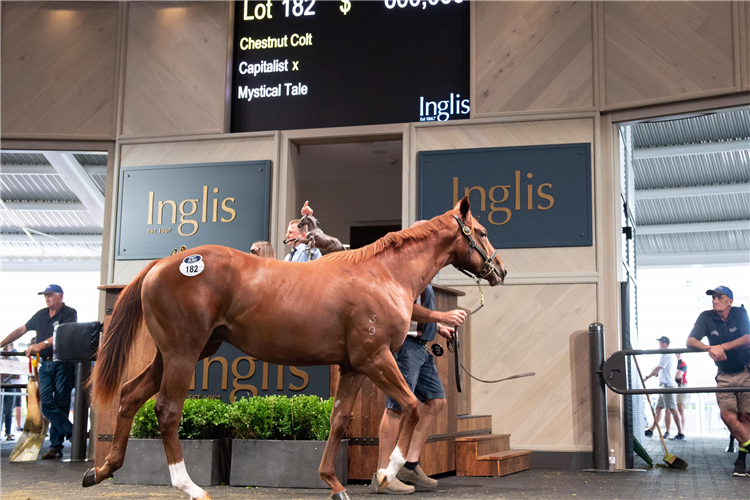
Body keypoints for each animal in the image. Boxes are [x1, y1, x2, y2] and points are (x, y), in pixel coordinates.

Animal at [83, 199, 506, 500]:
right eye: (482, 231)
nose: (499, 269)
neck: (383, 275)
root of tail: (164, 262)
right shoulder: (376, 358)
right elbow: (413, 407)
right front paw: (386, 474)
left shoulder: (353, 367)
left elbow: (339, 421)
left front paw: (333, 483)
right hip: (183, 354)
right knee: (167, 411)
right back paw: (190, 487)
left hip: (178, 353)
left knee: (130, 395)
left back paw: (101, 470)